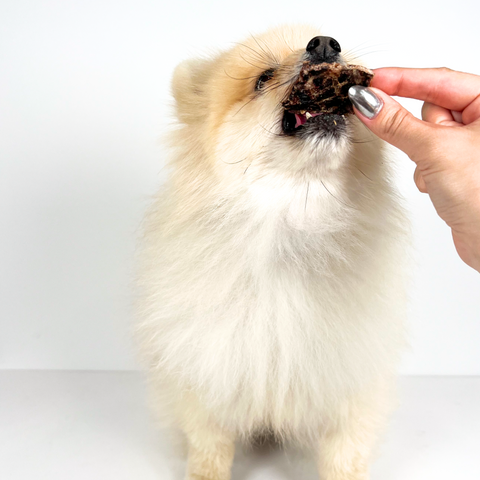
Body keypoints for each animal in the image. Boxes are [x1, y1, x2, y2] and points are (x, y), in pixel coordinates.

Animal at [135, 25, 408, 480]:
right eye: (262, 78)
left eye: (339, 53)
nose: (324, 44)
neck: (288, 223)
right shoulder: (209, 372)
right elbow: (209, 446)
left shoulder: (349, 380)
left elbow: (344, 452)